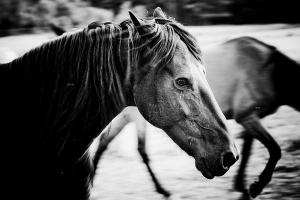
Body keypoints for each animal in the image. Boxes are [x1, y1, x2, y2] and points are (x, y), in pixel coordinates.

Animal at [92, 36, 298, 198]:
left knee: (103, 144)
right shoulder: (247, 116)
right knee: (139, 149)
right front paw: (256, 186)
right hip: (136, 118)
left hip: (126, 118)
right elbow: (275, 149)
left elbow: (249, 151)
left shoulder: (250, 118)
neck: (269, 70)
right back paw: (162, 190)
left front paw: (242, 184)